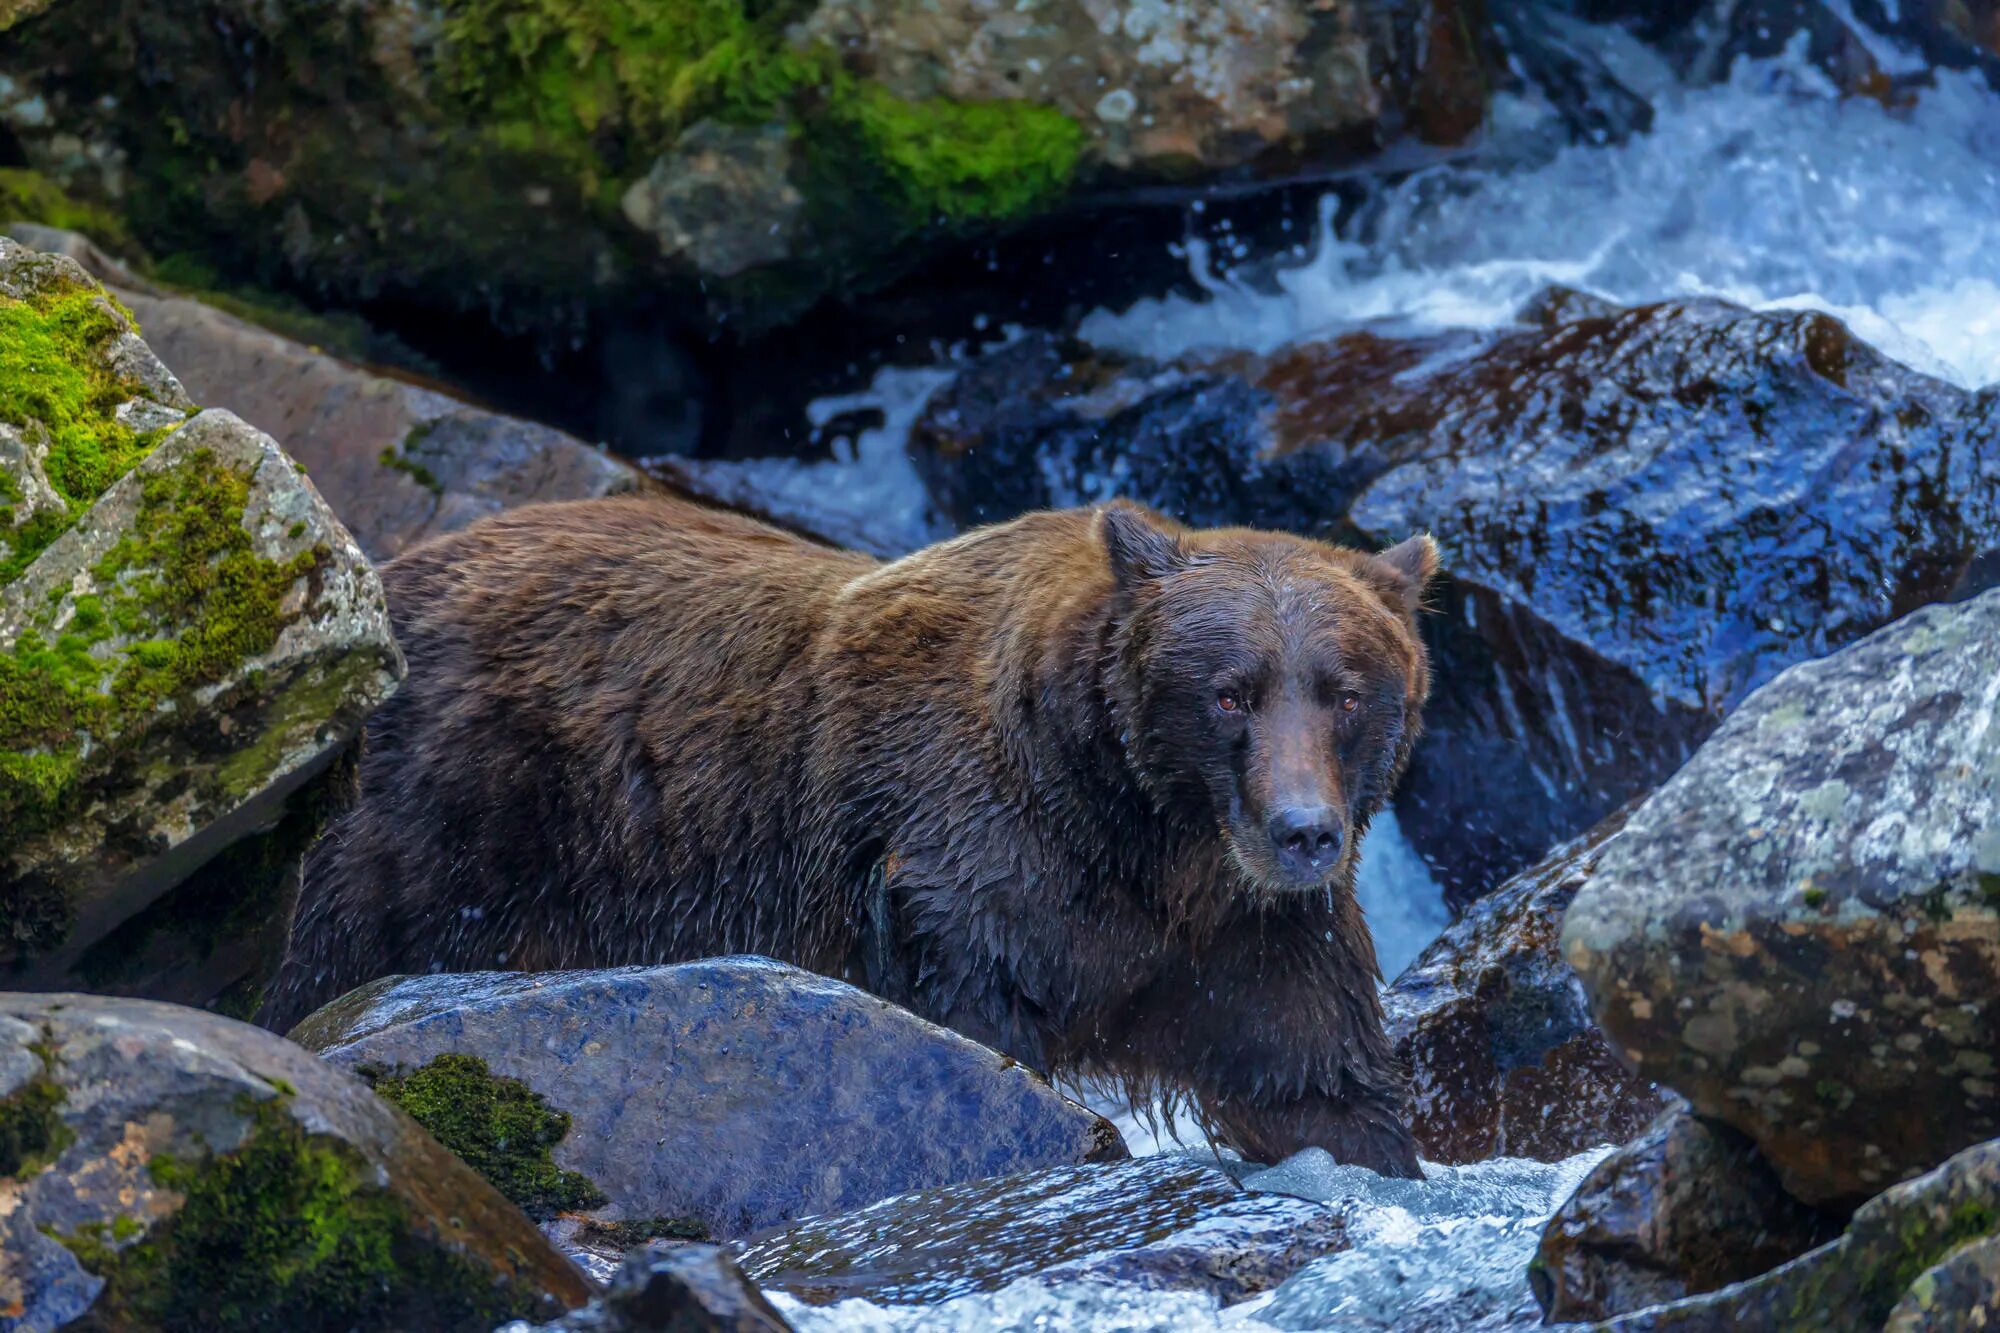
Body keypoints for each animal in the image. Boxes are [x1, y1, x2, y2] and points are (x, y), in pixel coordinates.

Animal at [262, 492, 1440, 1168]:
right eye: (1230, 692)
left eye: (1345, 691)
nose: (1302, 830)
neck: (1140, 834)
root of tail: (391, 570)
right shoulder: (974, 870)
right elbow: (975, 1031)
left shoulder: (1245, 941)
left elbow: (1317, 1084)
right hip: (438, 817)